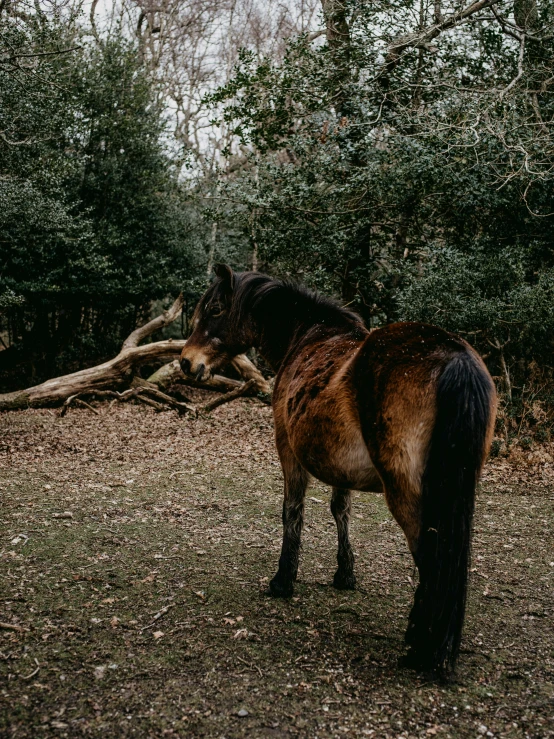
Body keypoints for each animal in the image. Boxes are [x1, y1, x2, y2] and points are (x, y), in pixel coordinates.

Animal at [181, 268, 496, 676]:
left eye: (216, 309)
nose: (186, 362)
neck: (308, 335)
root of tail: (453, 355)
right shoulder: (340, 466)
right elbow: (340, 511)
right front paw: (345, 574)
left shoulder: (288, 448)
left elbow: (292, 512)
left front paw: (283, 580)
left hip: (408, 496)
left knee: (431, 559)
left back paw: (420, 648)